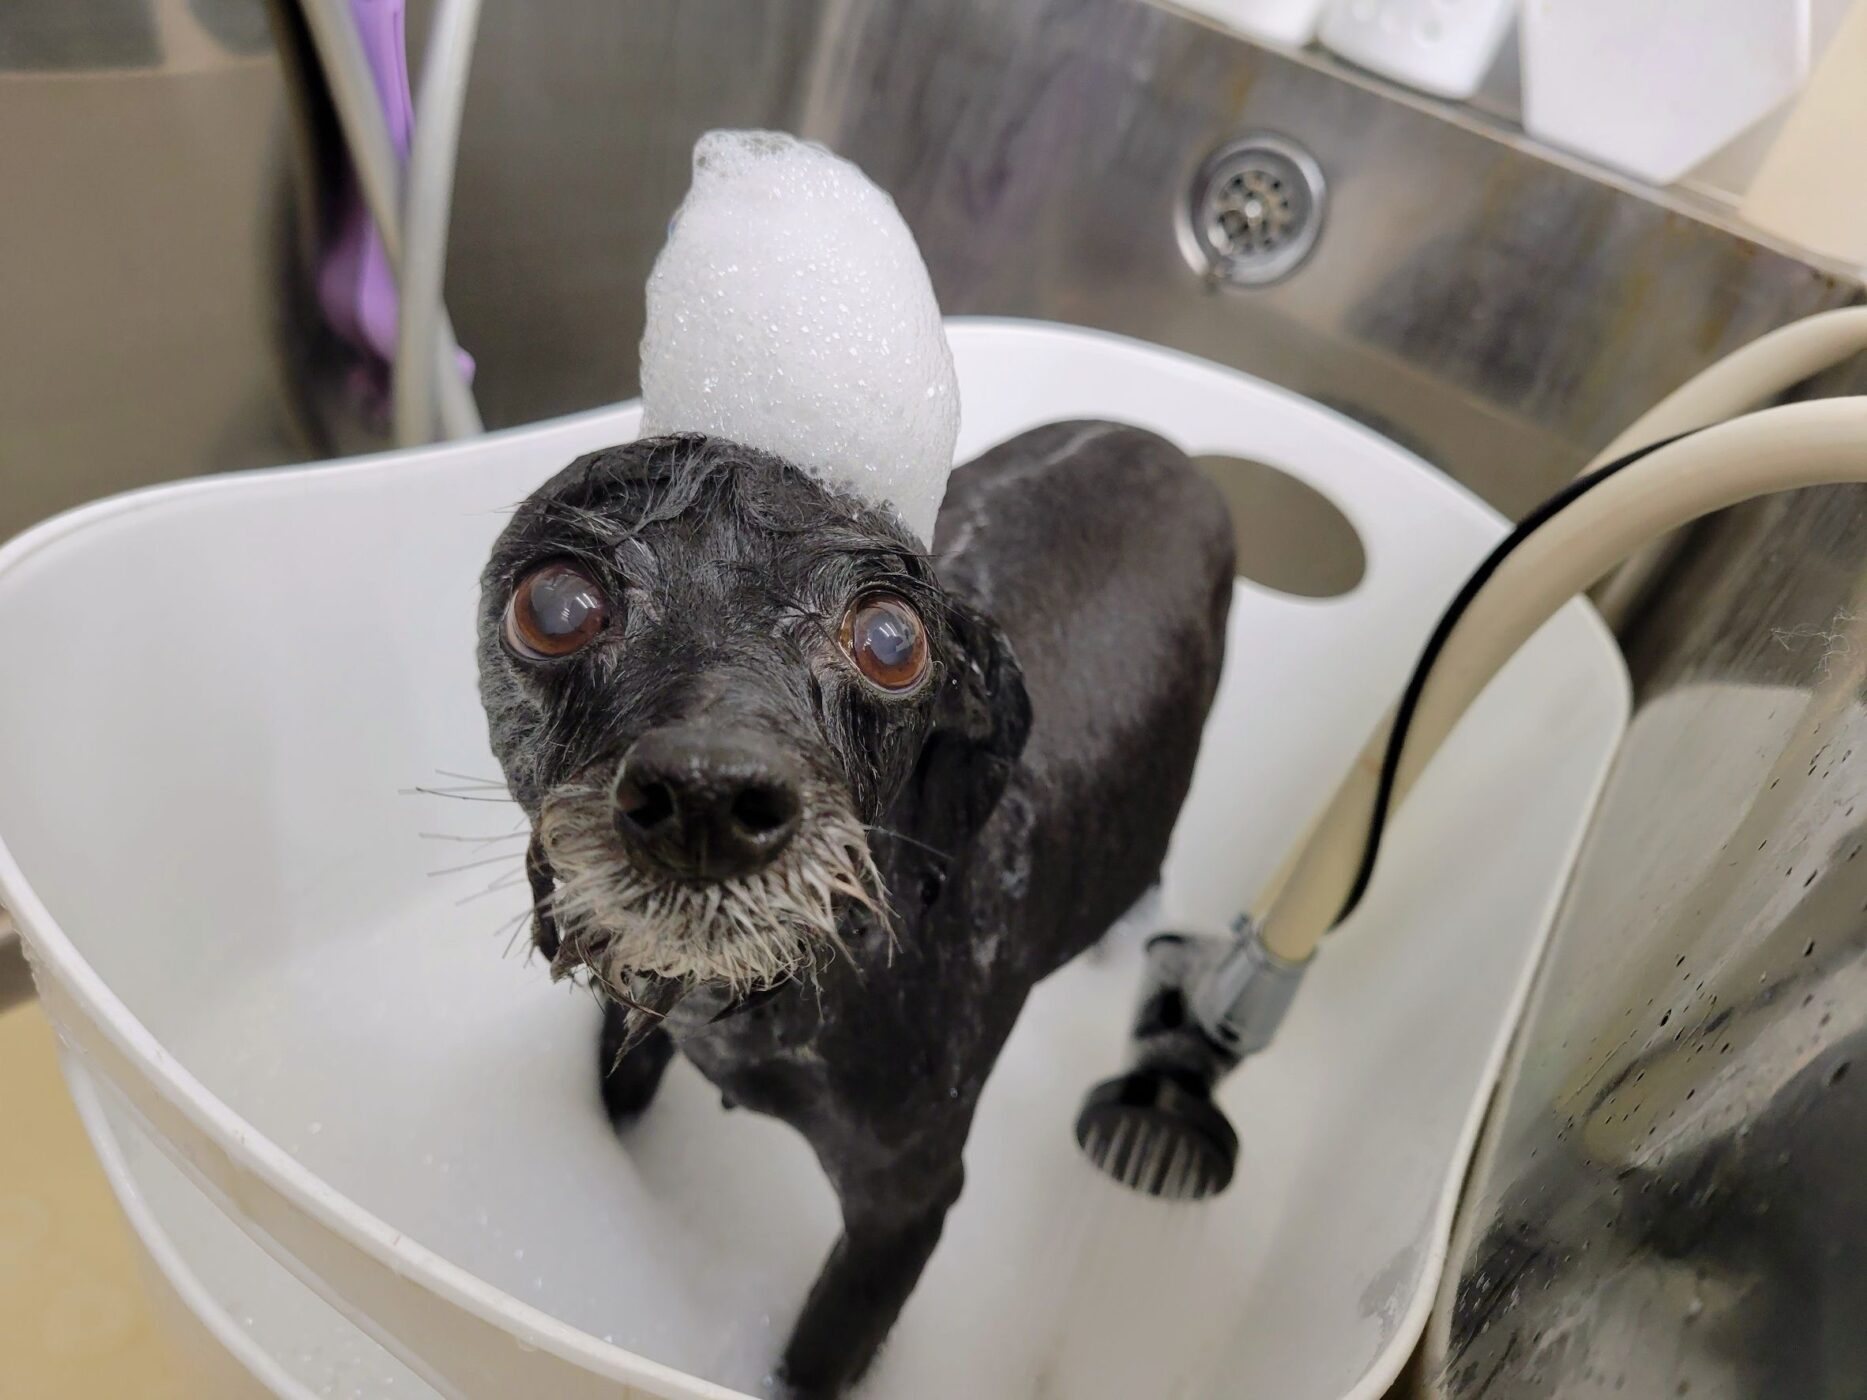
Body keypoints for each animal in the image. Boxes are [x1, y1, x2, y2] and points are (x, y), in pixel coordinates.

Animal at [477, 419, 1234, 1397]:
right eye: (558, 605)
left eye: (888, 637)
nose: (705, 796)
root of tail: (1169, 445)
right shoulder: (631, 1021)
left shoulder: (905, 1208)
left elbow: (818, 1353)